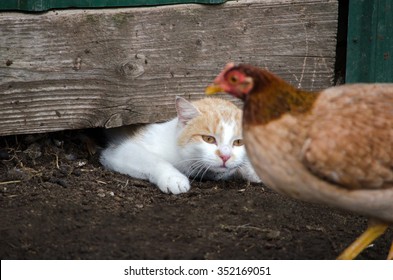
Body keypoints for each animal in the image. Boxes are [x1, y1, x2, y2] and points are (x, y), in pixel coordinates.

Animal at [99, 95, 260, 194]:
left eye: (238, 142)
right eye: (208, 139)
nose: (225, 156)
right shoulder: (118, 151)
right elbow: (153, 159)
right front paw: (172, 177)